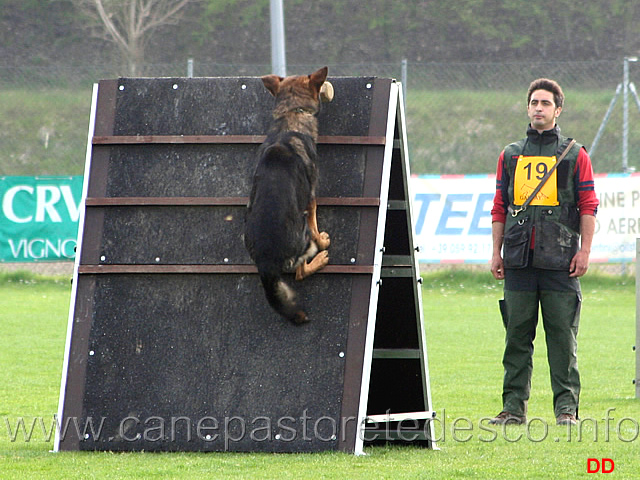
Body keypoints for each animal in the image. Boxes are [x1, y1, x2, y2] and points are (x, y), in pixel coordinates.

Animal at [245, 66, 332, 322]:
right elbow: (315, 219)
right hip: (303, 237)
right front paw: (322, 239)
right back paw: (319, 259)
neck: (292, 115)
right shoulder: (311, 197)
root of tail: (266, 261)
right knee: (301, 272)